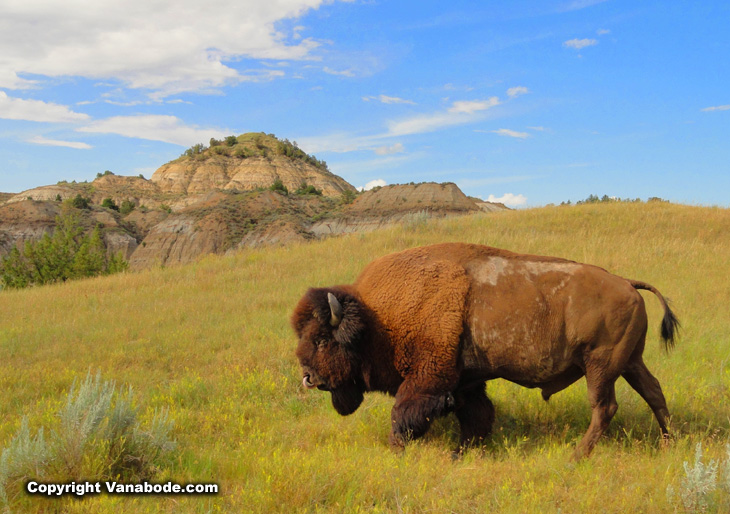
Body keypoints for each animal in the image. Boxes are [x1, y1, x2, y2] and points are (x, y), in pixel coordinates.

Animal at [290, 242, 676, 458]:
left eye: (322, 339)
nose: (308, 377)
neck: (376, 318)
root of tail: (626, 282)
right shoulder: (467, 382)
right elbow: (477, 417)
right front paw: (461, 453)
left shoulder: (427, 379)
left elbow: (404, 414)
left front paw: (397, 450)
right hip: (630, 362)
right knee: (654, 392)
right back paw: (669, 442)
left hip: (600, 365)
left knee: (604, 407)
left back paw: (577, 455)